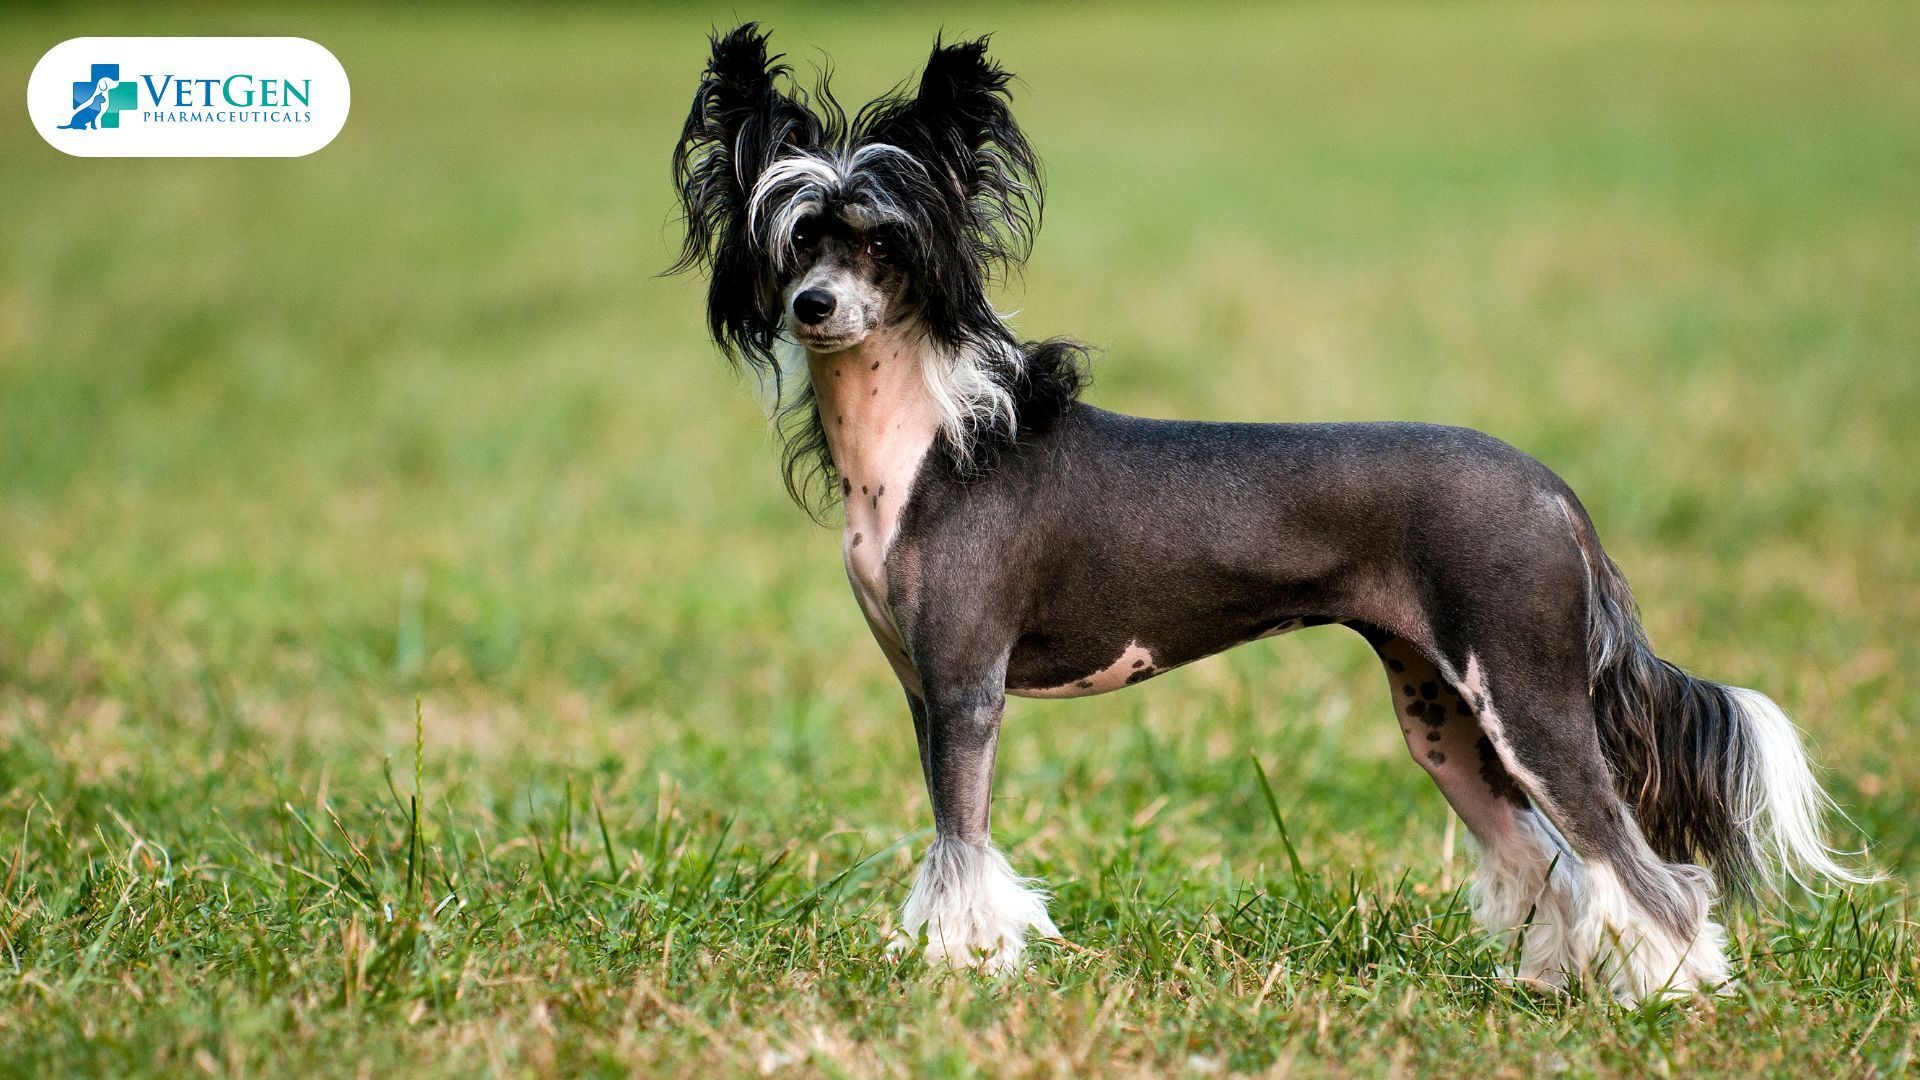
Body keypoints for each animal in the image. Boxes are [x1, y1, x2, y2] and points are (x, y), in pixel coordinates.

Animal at [668, 25, 1866, 999]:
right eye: (795, 240)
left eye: (884, 242)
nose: (815, 306)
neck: (927, 443)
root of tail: (1551, 490)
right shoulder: (924, 694)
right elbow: (944, 834)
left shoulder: (967, 692)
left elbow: (963, 849)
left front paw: (960, 969)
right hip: (1442, 717)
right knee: (1544, 858)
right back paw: (1550, 984)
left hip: (1528, 696)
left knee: (1639, 866)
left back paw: (1670, 993)